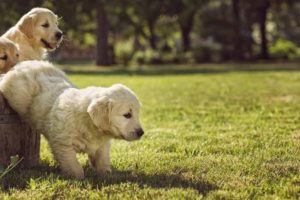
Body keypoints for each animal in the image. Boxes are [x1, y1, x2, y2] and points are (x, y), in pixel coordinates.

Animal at [0, 60, 145, 178]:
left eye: (137, 114)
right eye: (127, 115)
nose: (141, 132)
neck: (89, 123)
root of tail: (25, 63)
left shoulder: (102, 145)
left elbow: (102, 158)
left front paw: (106, 172)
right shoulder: (63, 143)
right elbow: (72, 163)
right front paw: (77, 177)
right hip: (16, 92)